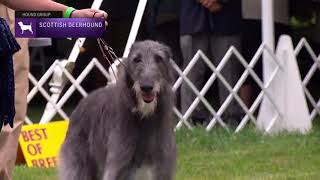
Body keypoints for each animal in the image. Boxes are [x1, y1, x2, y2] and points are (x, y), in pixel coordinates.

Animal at [58, 40, 176, 180]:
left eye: (159, 58)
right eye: (137, 59)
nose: (146, 87)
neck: (144, 116)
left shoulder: (161, 167)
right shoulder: (119, 165)